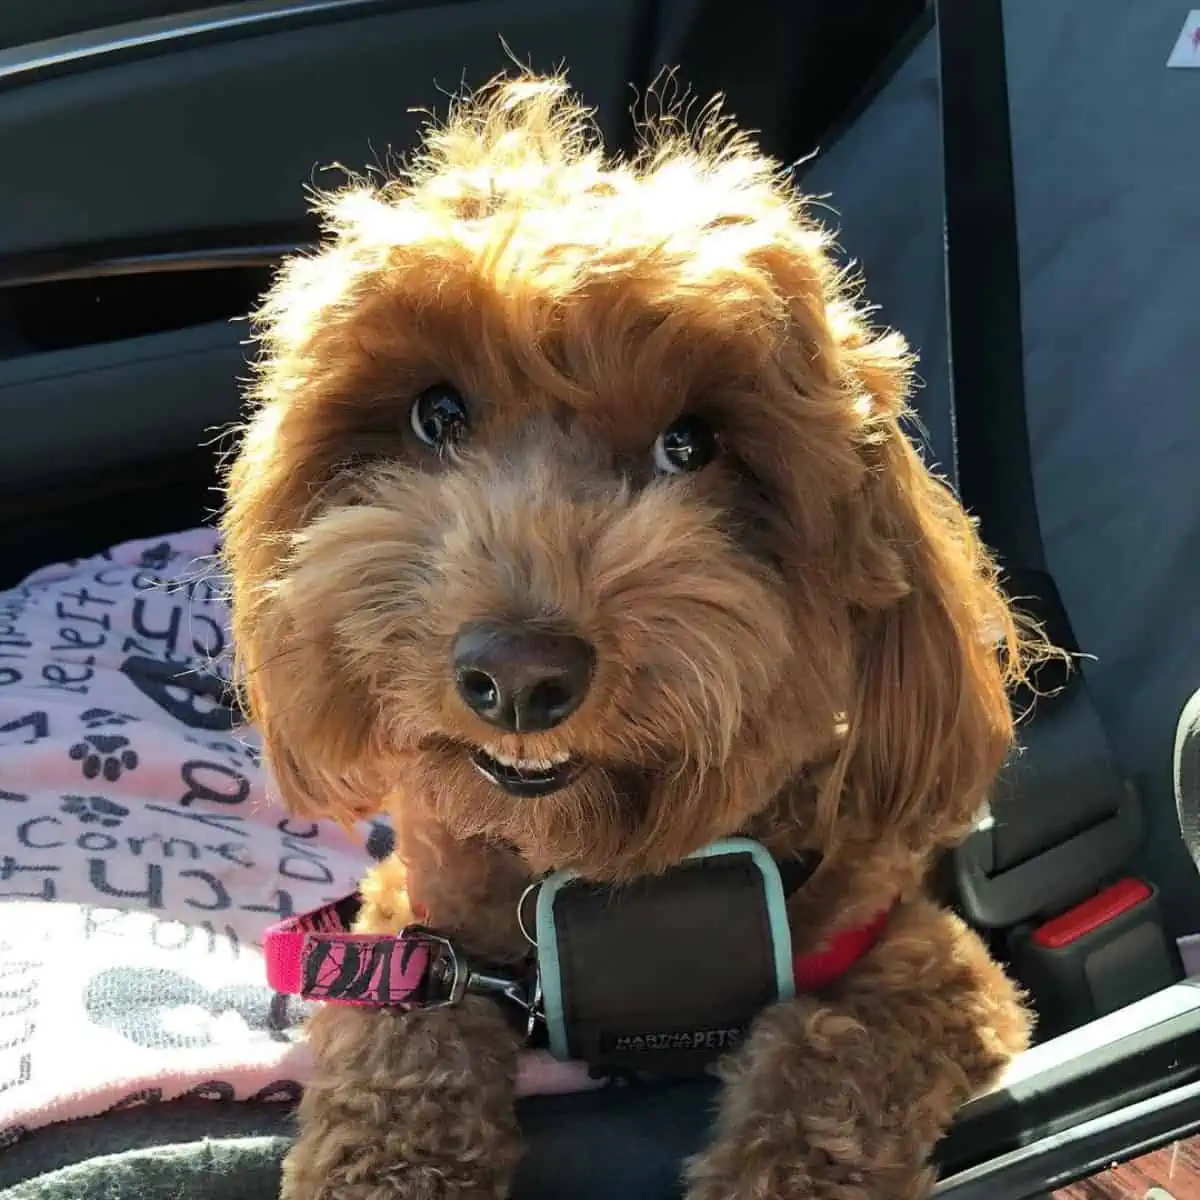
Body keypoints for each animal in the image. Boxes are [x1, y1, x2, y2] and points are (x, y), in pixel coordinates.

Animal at [223, 72, 1041, 1200]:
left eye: (691, 445)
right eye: (437, 416)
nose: (517, 675)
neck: (592, 863)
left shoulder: (927, 960)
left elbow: (835, 1060)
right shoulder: (414, 935)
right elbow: (400, 1046)